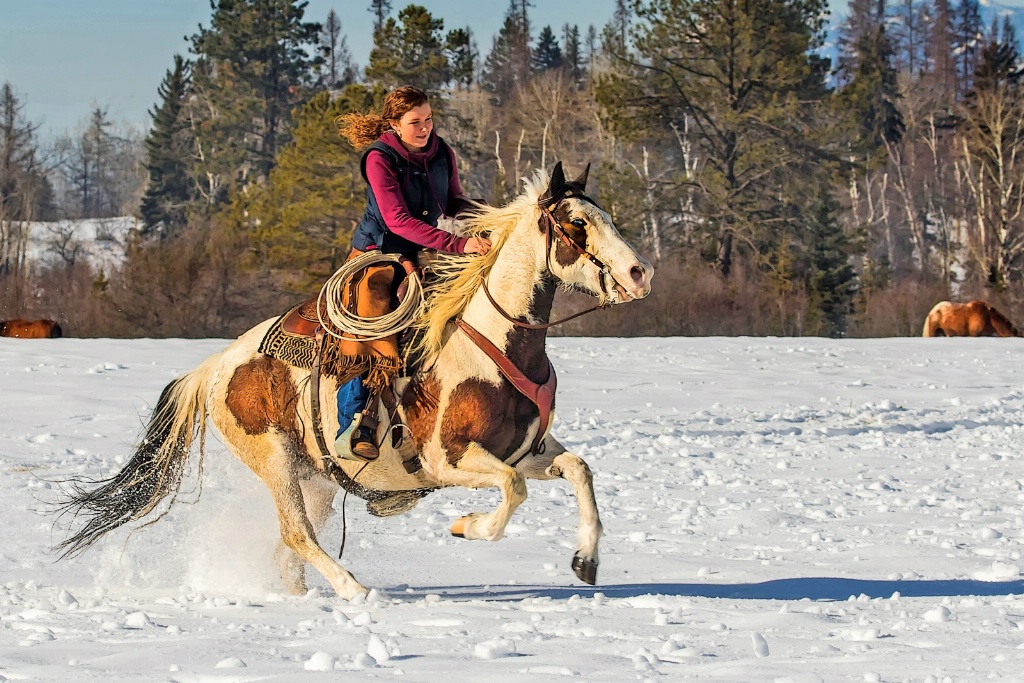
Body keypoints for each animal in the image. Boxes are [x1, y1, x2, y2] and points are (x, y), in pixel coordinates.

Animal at [56, 162, 655, 602]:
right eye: (576, 224)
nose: (639, 274)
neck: (493, 343)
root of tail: (216, 366)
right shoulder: (448, 459)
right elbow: (513, 490)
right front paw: (466, 527)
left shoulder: (526, 450)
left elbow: (579, 470)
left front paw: (585, 559)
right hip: (274, 460)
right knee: (296, 533)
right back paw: (355, 591)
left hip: (317, 478)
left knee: (290, 546)